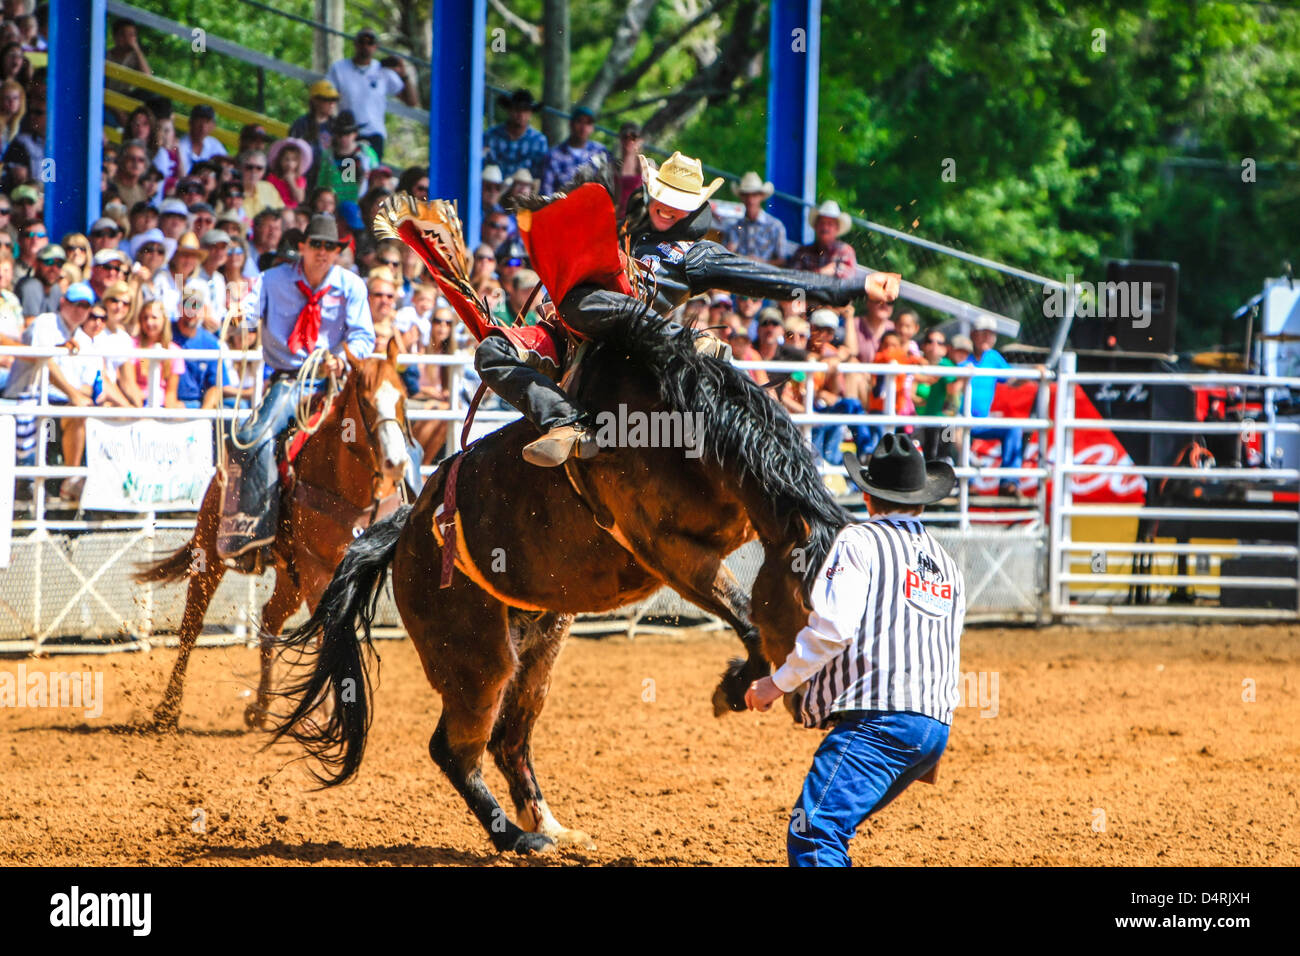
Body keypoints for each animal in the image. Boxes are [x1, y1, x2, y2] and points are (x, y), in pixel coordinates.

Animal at [136, 343, 410, 733]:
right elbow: (325, 631)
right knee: (192, 623)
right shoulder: (315, 568)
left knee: (269, 618)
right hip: (212, 553)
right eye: (367, 401)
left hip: (289, 577)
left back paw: (261, 707)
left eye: (402, 398)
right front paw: (322, 714)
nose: (396, 463)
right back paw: (167, 709)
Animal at [269, 312, 847, 853]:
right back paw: (518, 838)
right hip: (476, 661)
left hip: (539, 644)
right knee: (455, 749)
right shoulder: (670, 551)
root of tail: (406, 532)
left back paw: (549, 826)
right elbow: (748, 622)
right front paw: (733, 688)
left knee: (508, 742)